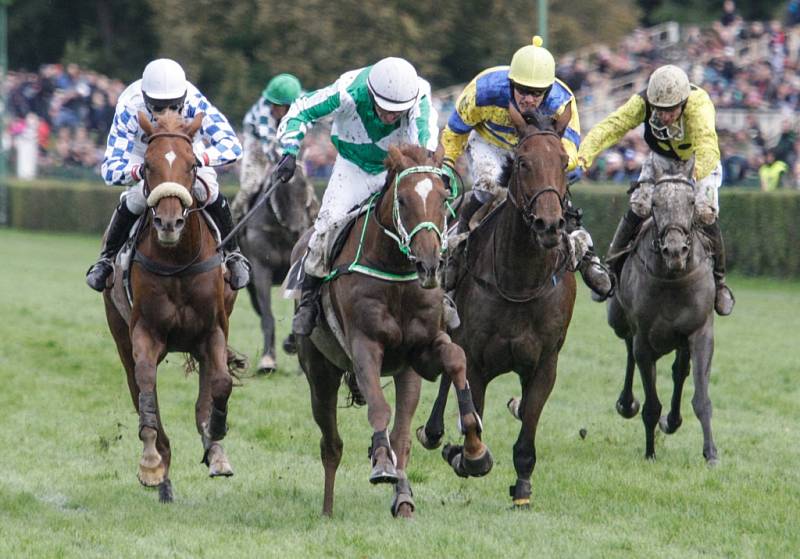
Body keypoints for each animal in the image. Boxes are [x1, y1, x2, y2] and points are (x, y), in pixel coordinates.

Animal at [103, 111, 241, 506]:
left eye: (192, 164)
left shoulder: (212, 331)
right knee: (138, 388)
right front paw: (151, 463)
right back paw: (161, 476)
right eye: (148, 165)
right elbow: (147, 386)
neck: (178, 261)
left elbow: (221, 383)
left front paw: (216, 438)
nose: (168, 222)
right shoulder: (144, 333)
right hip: (120, 337)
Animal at [241, 167, 318, 376]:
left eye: (306, 193)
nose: (299, 230)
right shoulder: (261, 272)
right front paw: (267, 361)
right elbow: (267, 316)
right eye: (283, 192)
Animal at [296, 145, 494, 520]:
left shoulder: (422, 352)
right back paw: (329, 509)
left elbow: (456, 358)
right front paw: (381, 463)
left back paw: (403, 499)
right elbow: (378, 408)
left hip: (406, 375)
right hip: (319, 373)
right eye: (402, 199)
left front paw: (475, 449)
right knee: (331, 444)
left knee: (401, 436)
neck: (397, 275)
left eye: (443, 196)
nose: (429, 264)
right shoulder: (364, 346)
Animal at [416, 108, 580, 508]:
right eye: (523, 162)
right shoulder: (476, 359)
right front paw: (463, 454)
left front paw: (522, 488)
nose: (549, 224)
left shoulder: (545, 364)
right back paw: (435, 433)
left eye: (564, 162)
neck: (520, 281)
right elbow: (471, 414)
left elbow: (527, 431)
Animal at [608, 156, 720, 464]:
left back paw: (672, 420)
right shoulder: (644, 340)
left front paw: (711, 453)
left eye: (691, 201)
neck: (672, 278)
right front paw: (650, 452)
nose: (675, 251)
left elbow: (701, 398)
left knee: (679, 370)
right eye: (656, 203)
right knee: (628, 348)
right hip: (618, 320)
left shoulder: (700, 331)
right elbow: (650, 405)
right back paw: (626, 403)